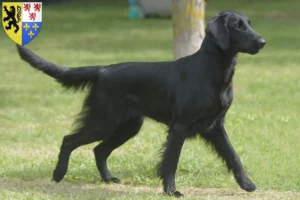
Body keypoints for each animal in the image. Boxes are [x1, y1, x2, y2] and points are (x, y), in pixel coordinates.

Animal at [16, 10, 264, 197]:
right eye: (238, 26)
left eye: (249, 24)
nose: (262, 42)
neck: (212, 70)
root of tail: (103, 70)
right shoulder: (180, 127)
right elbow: (171, 161)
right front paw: (171, 191)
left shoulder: (215, 126)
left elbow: (233, 156)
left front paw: (247, 184)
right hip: (104, 121)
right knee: (69, 140)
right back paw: (58, 174)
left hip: (128, 126)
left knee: (99, 149)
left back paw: (108, 179)